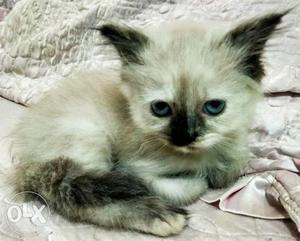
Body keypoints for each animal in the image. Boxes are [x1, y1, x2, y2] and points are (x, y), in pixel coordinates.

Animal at [9, 12, 286, 236]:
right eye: (160, 109)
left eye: (214, 107)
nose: (185, 137)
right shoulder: (136, 167)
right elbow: (187, 187)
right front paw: (197, 181)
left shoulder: (235, 151)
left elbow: (232, 168)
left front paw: (217, 172)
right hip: (89, 137)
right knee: (74, 190)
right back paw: (161, 215)